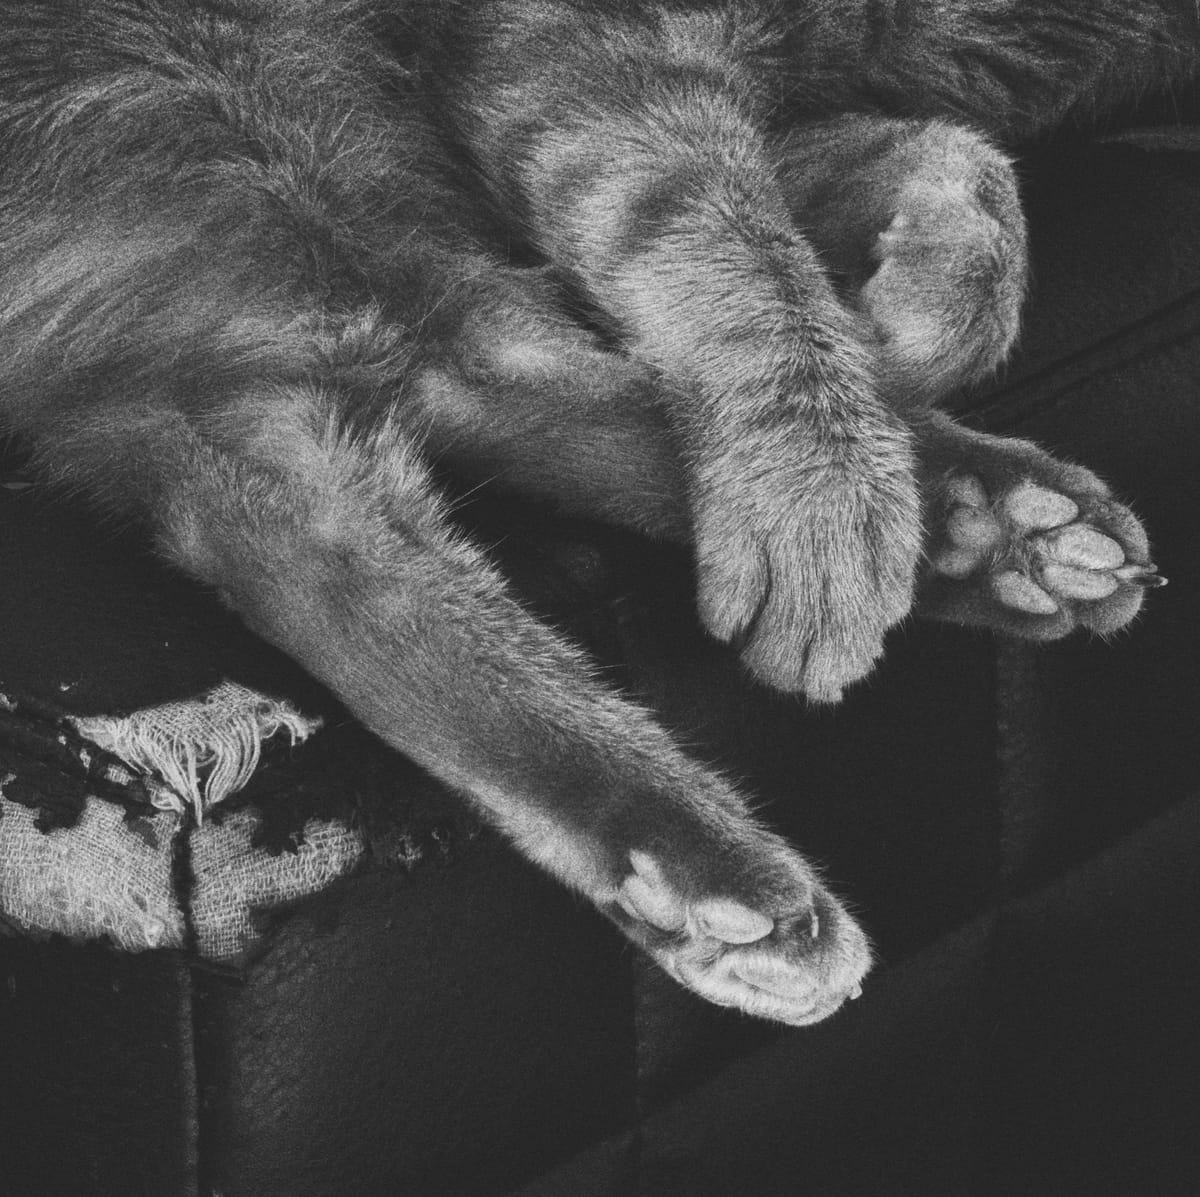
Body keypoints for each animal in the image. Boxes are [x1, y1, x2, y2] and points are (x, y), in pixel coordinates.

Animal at [0, 0, 1180, 1026]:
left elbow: (954, 169)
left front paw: (920, 317)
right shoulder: (580, 59)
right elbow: (725, 234)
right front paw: (832, 474)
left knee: (411, 410)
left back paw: (986, 523)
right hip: (236, 104)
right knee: (342, 476)